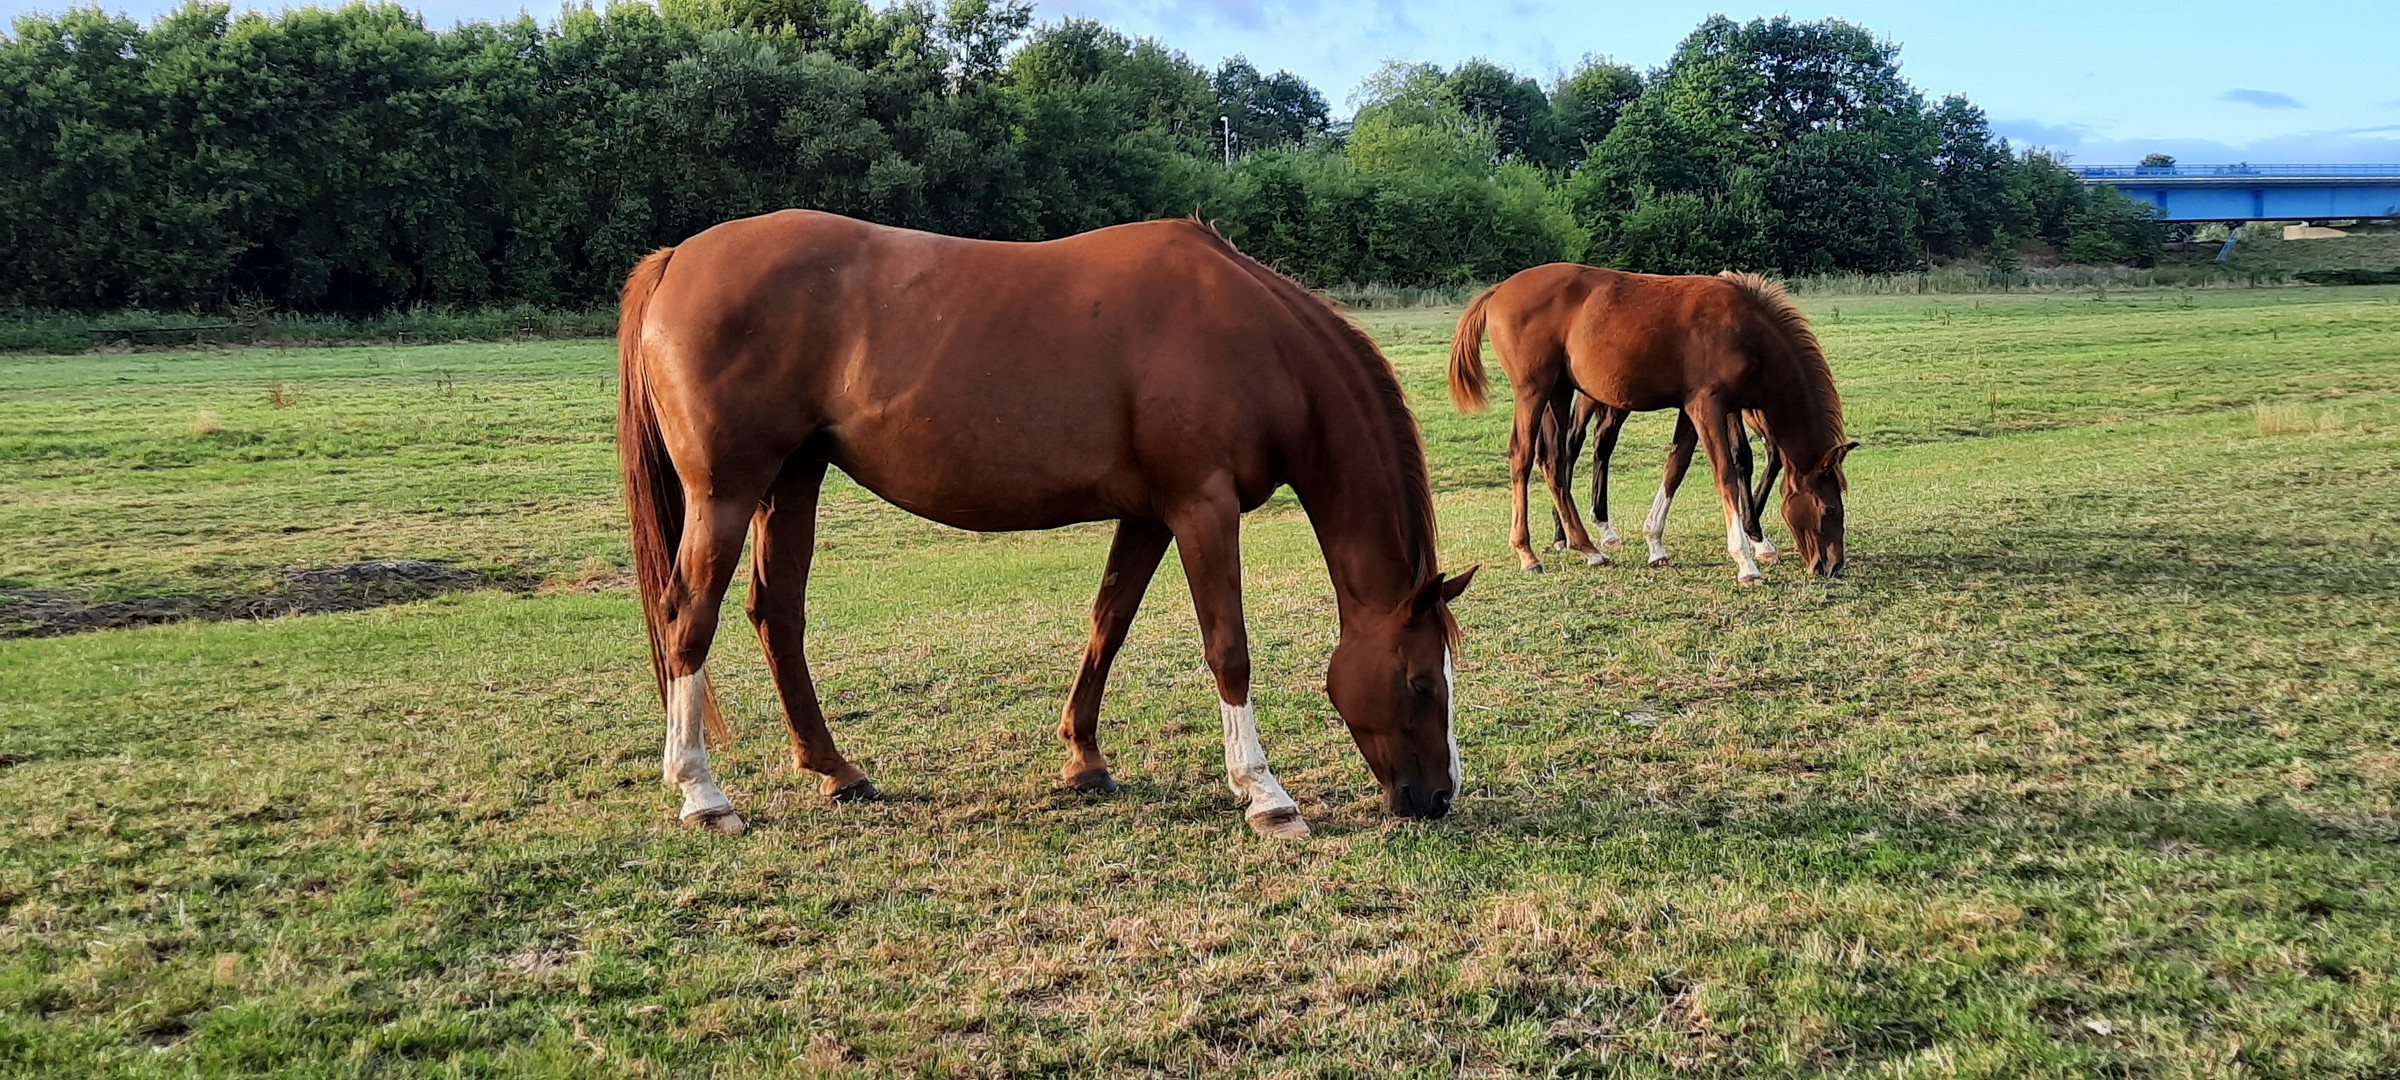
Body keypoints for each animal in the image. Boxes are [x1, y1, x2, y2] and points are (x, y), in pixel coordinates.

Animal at [614, 208, 1478, 835]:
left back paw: (836, 770)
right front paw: (1264, 793)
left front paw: (1084, 760)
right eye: (1418, 680)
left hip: (792, 480)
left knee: (777, 616)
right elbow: (1227, 648)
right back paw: (702, 794)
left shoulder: (1150, 514)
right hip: (727, 493)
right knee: (688, 619)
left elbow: (1108, 623)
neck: (1253, 339)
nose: (1439, 798)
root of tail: (676, 260)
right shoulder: (1203, 506)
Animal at [1440, 262, 1852, 583]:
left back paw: (1587, 547)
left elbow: (1676, 466)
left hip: (1560, 391)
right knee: (1522, 456)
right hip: (1533, 390)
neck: (1748, 330)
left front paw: (1655, 543)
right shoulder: (1708, 406)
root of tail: (1499, 291)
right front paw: (1746, 561)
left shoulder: (1692, 408)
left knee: (1555, 461)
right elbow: (1725, 473)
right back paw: (1528, 553)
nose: (1832, 566)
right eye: (1830, 509)